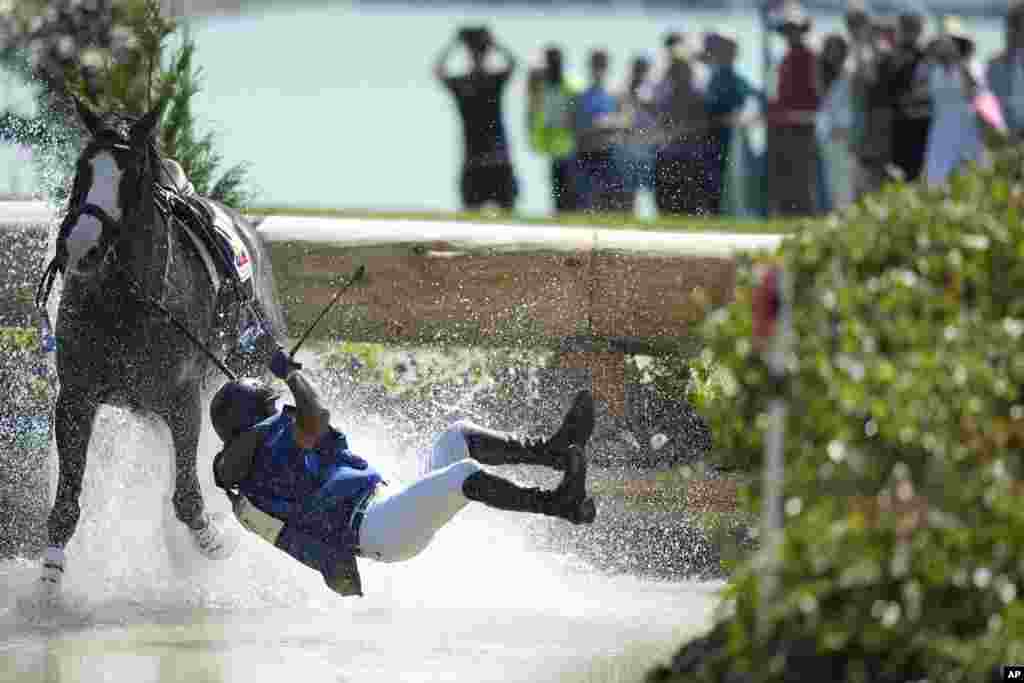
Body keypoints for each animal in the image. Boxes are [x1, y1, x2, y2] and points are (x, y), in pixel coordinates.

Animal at [35, 98, 286, 593]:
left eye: (132, 174)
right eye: (82, 167)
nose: (81, 245)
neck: (127, 302)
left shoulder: (183, 401)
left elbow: (188, 496)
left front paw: (215, 542)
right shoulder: (76, 398)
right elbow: (67, 501)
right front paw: (49, 581)